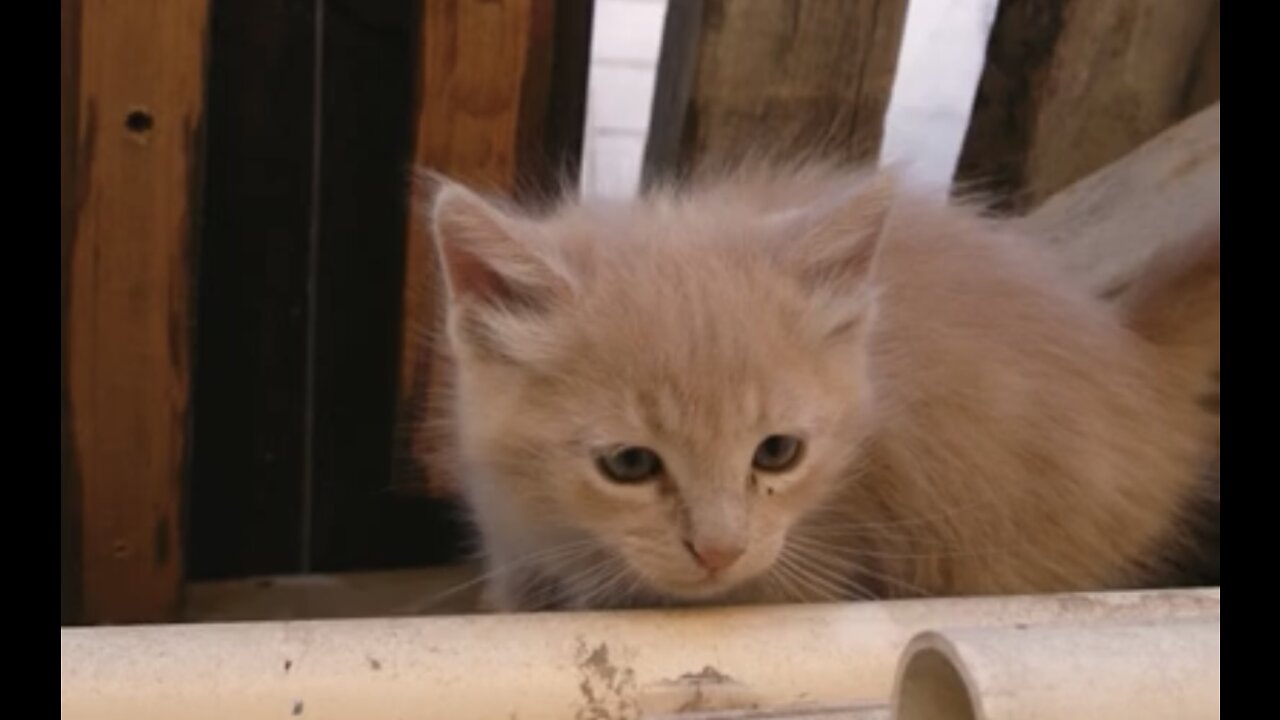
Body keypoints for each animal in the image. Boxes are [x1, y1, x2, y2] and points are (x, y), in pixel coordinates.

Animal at [422, 163, 1218, 609]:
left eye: (778, 453)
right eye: (629, 463)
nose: (719, 552)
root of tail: (1137, 355)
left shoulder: (821, 562)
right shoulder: (517, 560)